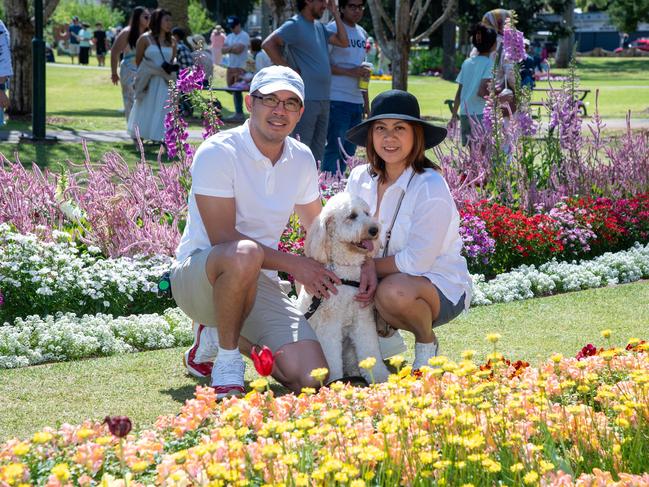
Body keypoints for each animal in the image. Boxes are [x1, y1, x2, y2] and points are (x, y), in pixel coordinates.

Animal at [294, 192, 390, 386]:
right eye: (352, 216)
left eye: (367, 213)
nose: (374, 230)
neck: (345, 273)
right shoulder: (329, 325)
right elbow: (331, 356)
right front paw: (334, 381)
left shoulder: (362, 320)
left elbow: (370, 349)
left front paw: (379, 376)